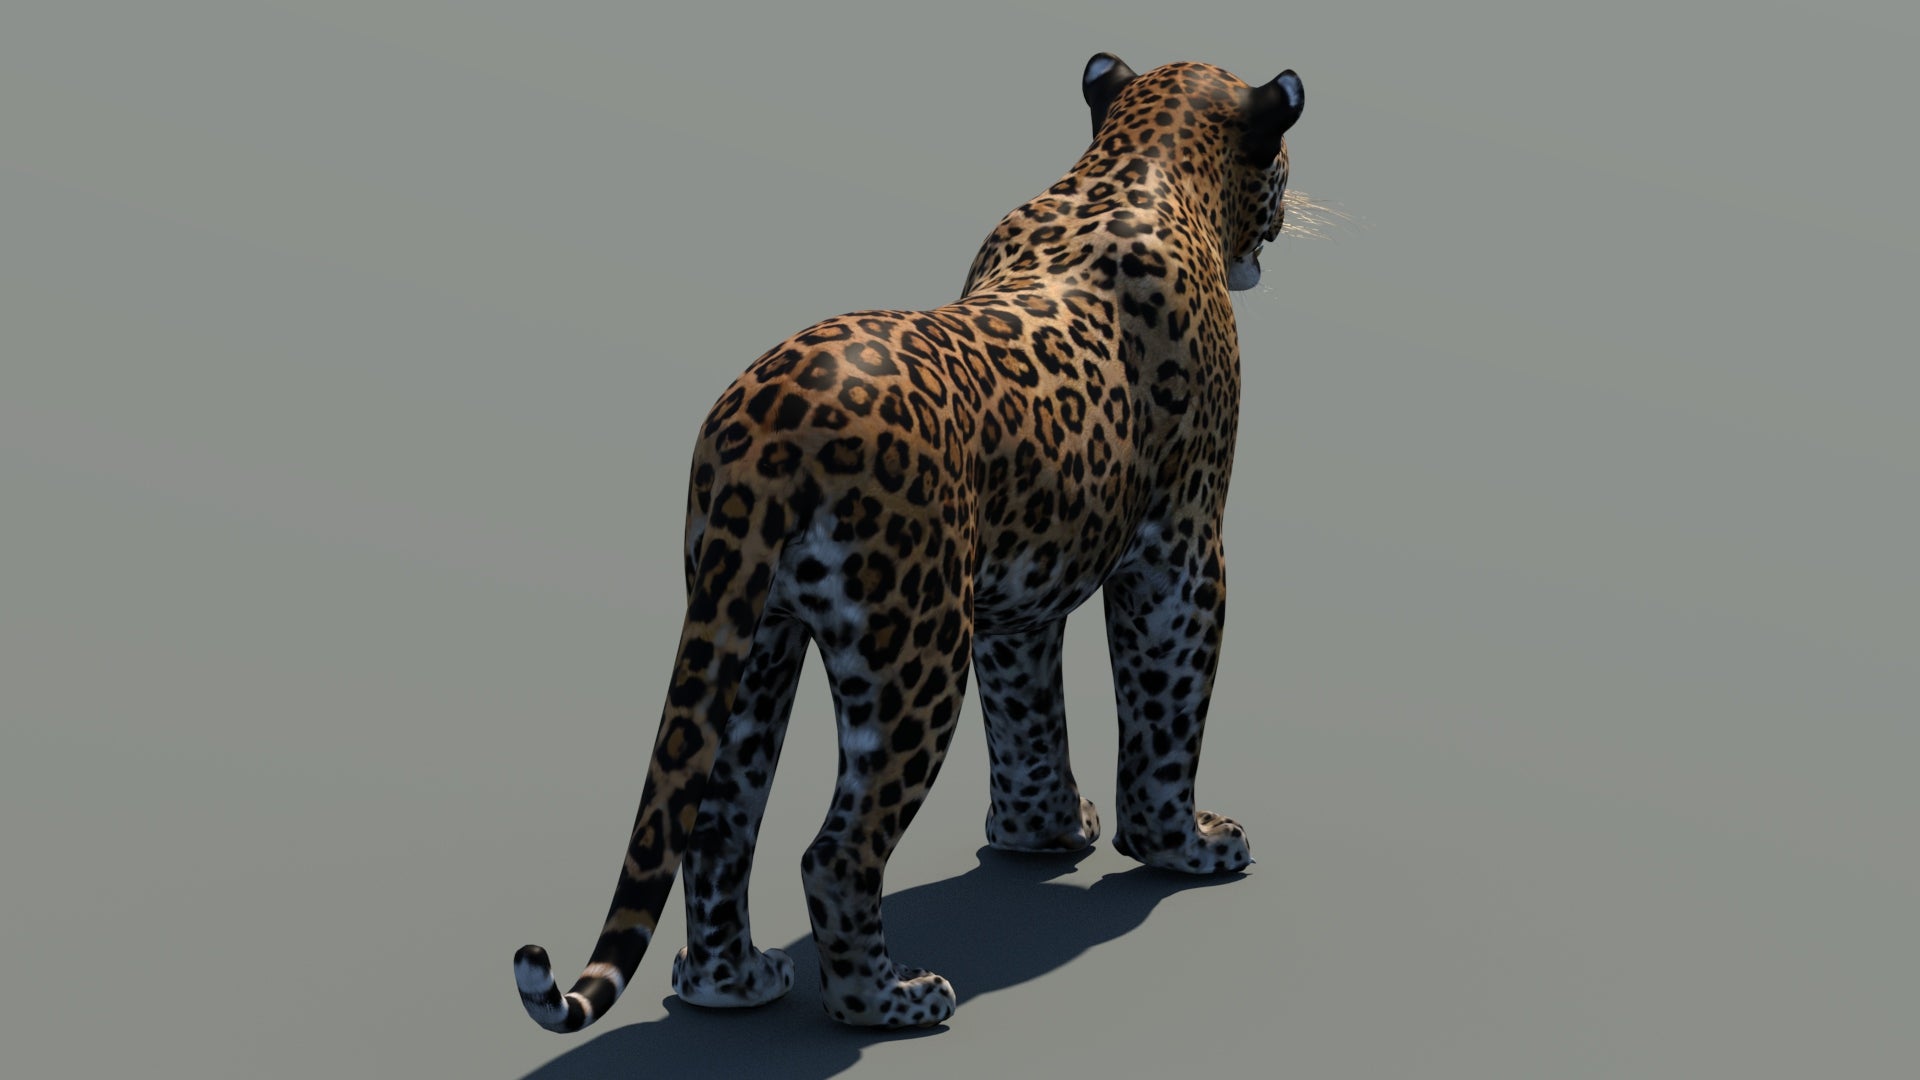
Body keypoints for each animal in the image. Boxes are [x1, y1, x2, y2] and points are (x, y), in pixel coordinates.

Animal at [514, 52, 1304, 1032]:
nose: (1289, 206)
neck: (1139, 163)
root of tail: (765, 425)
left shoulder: (1017, 595)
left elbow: (1029, 717)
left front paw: (1042, 832)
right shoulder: (1182, 553)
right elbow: (1167, 710)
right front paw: (1182, 846)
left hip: (748, 634)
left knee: (716, 818)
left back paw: (732, 985)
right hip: (914, 650)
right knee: (835, 850)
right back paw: (889, 999)